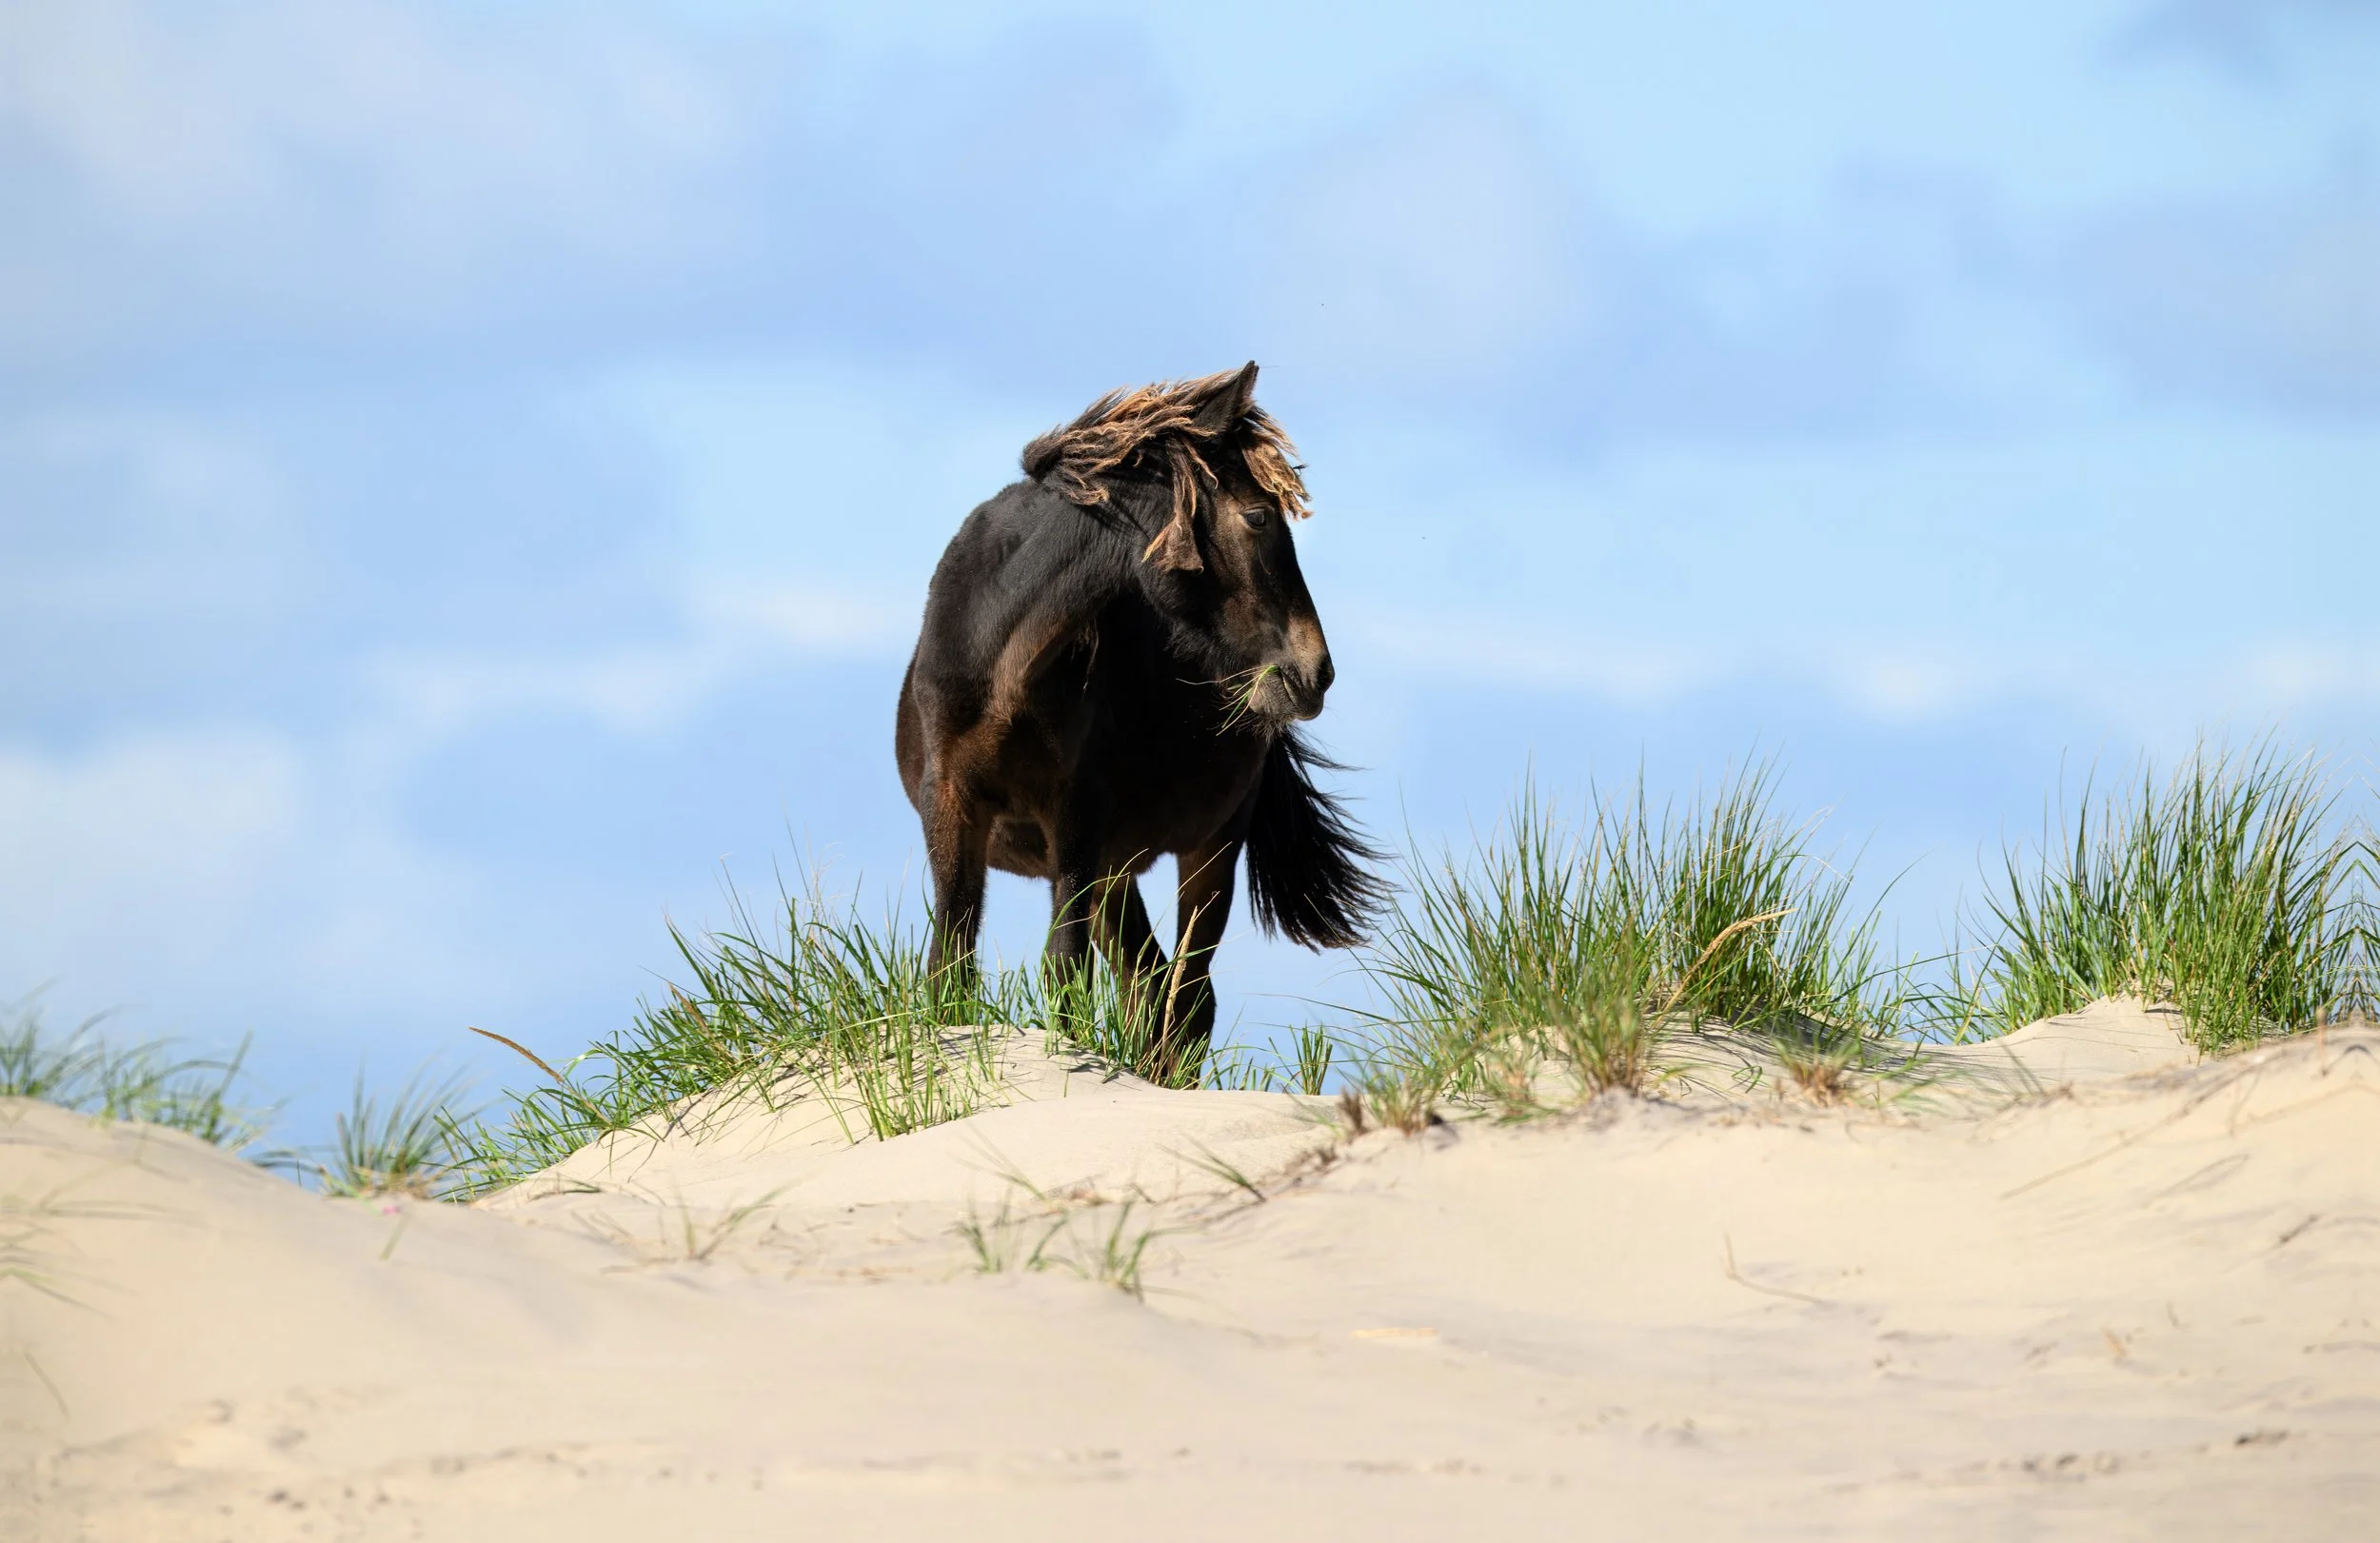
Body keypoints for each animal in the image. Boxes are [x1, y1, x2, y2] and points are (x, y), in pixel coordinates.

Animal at [894, 362, 1384, 1078]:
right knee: (1148, 986)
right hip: (1118, 873)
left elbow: (1064, 973)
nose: (1312, 672)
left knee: (1186, 999)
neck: (1001, 664)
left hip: (1207, 849)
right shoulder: (954, 806)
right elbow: (949, 970)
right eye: (1258, 515)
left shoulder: (1075, 821)